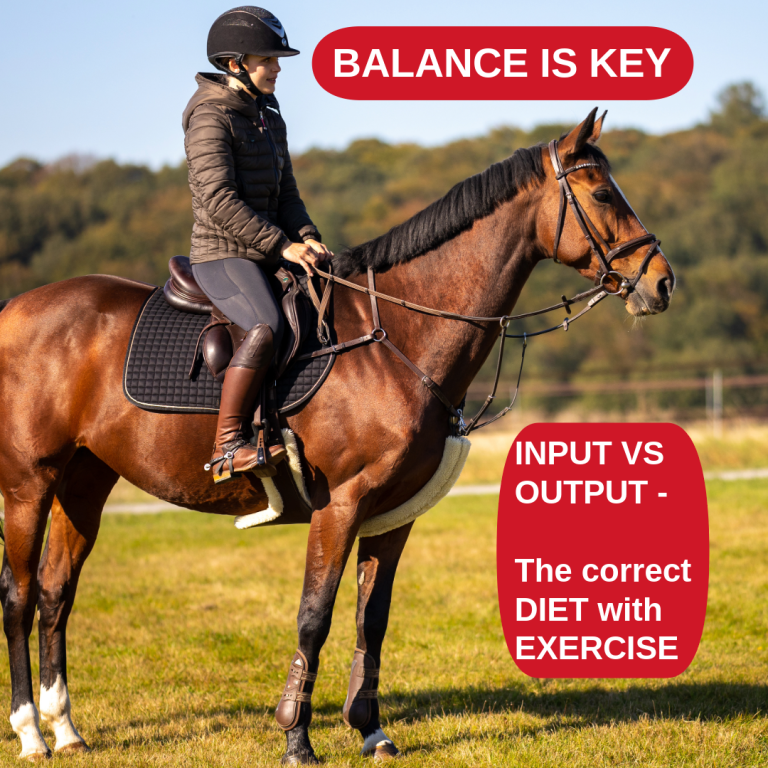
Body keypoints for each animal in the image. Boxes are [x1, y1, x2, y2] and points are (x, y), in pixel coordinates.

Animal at [0, 110, 674, 763]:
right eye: (602, 192)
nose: (662, 283)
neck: (397, 334)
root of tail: (15, 308)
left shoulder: (392, 515)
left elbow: (370, 619)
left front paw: (369, 731)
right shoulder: (341, 505)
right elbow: (313, 617)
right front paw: (296, 739)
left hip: (86, 480)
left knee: (56, 593)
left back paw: (66, 730)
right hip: (29, 484)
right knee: (21, 595)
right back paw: (32, 733)